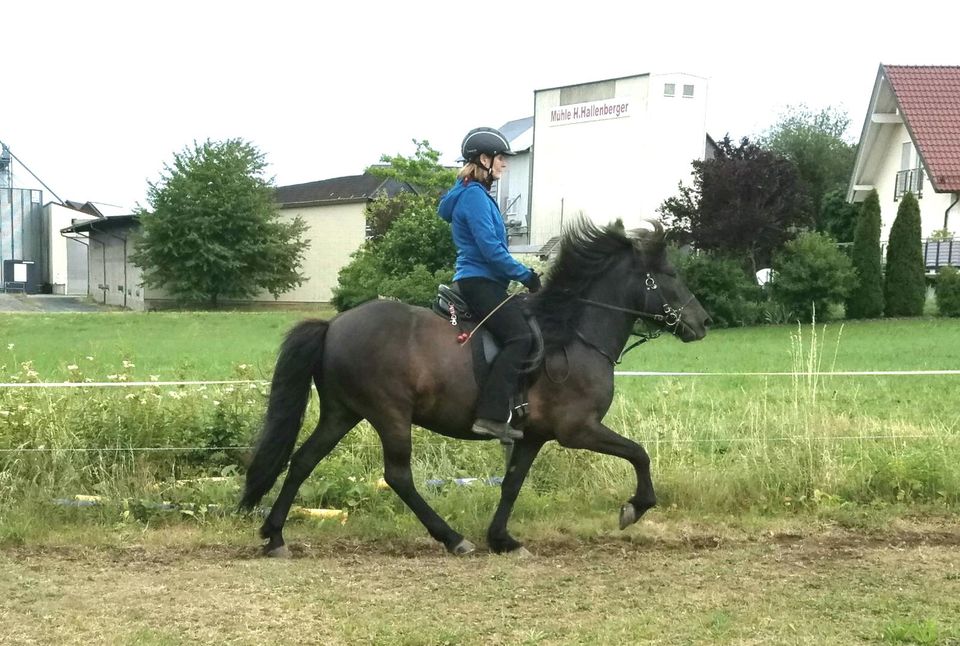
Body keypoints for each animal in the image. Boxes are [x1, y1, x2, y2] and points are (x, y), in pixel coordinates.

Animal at [238, 219, 704, 556]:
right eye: (669, 274)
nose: (703, 322)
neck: (573, 336)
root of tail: (333, 325)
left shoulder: (532, 436)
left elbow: (512, 483)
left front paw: (502, 540)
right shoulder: (578, 430)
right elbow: (639, 454)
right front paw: (634, 508)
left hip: (343, 412)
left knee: (303, 461)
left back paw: (275, 537)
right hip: (389, 414)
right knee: (398, 476)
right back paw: (451, 538)